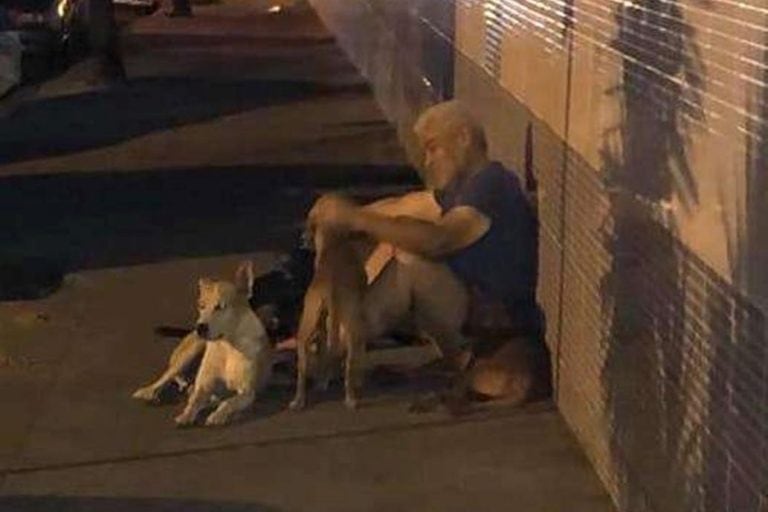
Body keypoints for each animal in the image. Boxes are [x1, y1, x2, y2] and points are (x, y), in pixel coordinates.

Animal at [133, 262, 272, 426]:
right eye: (201, 306)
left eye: (220, 307)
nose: (200, 327)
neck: (227, 346)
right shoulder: (204, 385)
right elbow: (195, 401)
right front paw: (186, 415)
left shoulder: (247, 392)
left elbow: (228, 402)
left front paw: (217, 415)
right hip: (190, 352)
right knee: (167, 376)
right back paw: (149, 391)